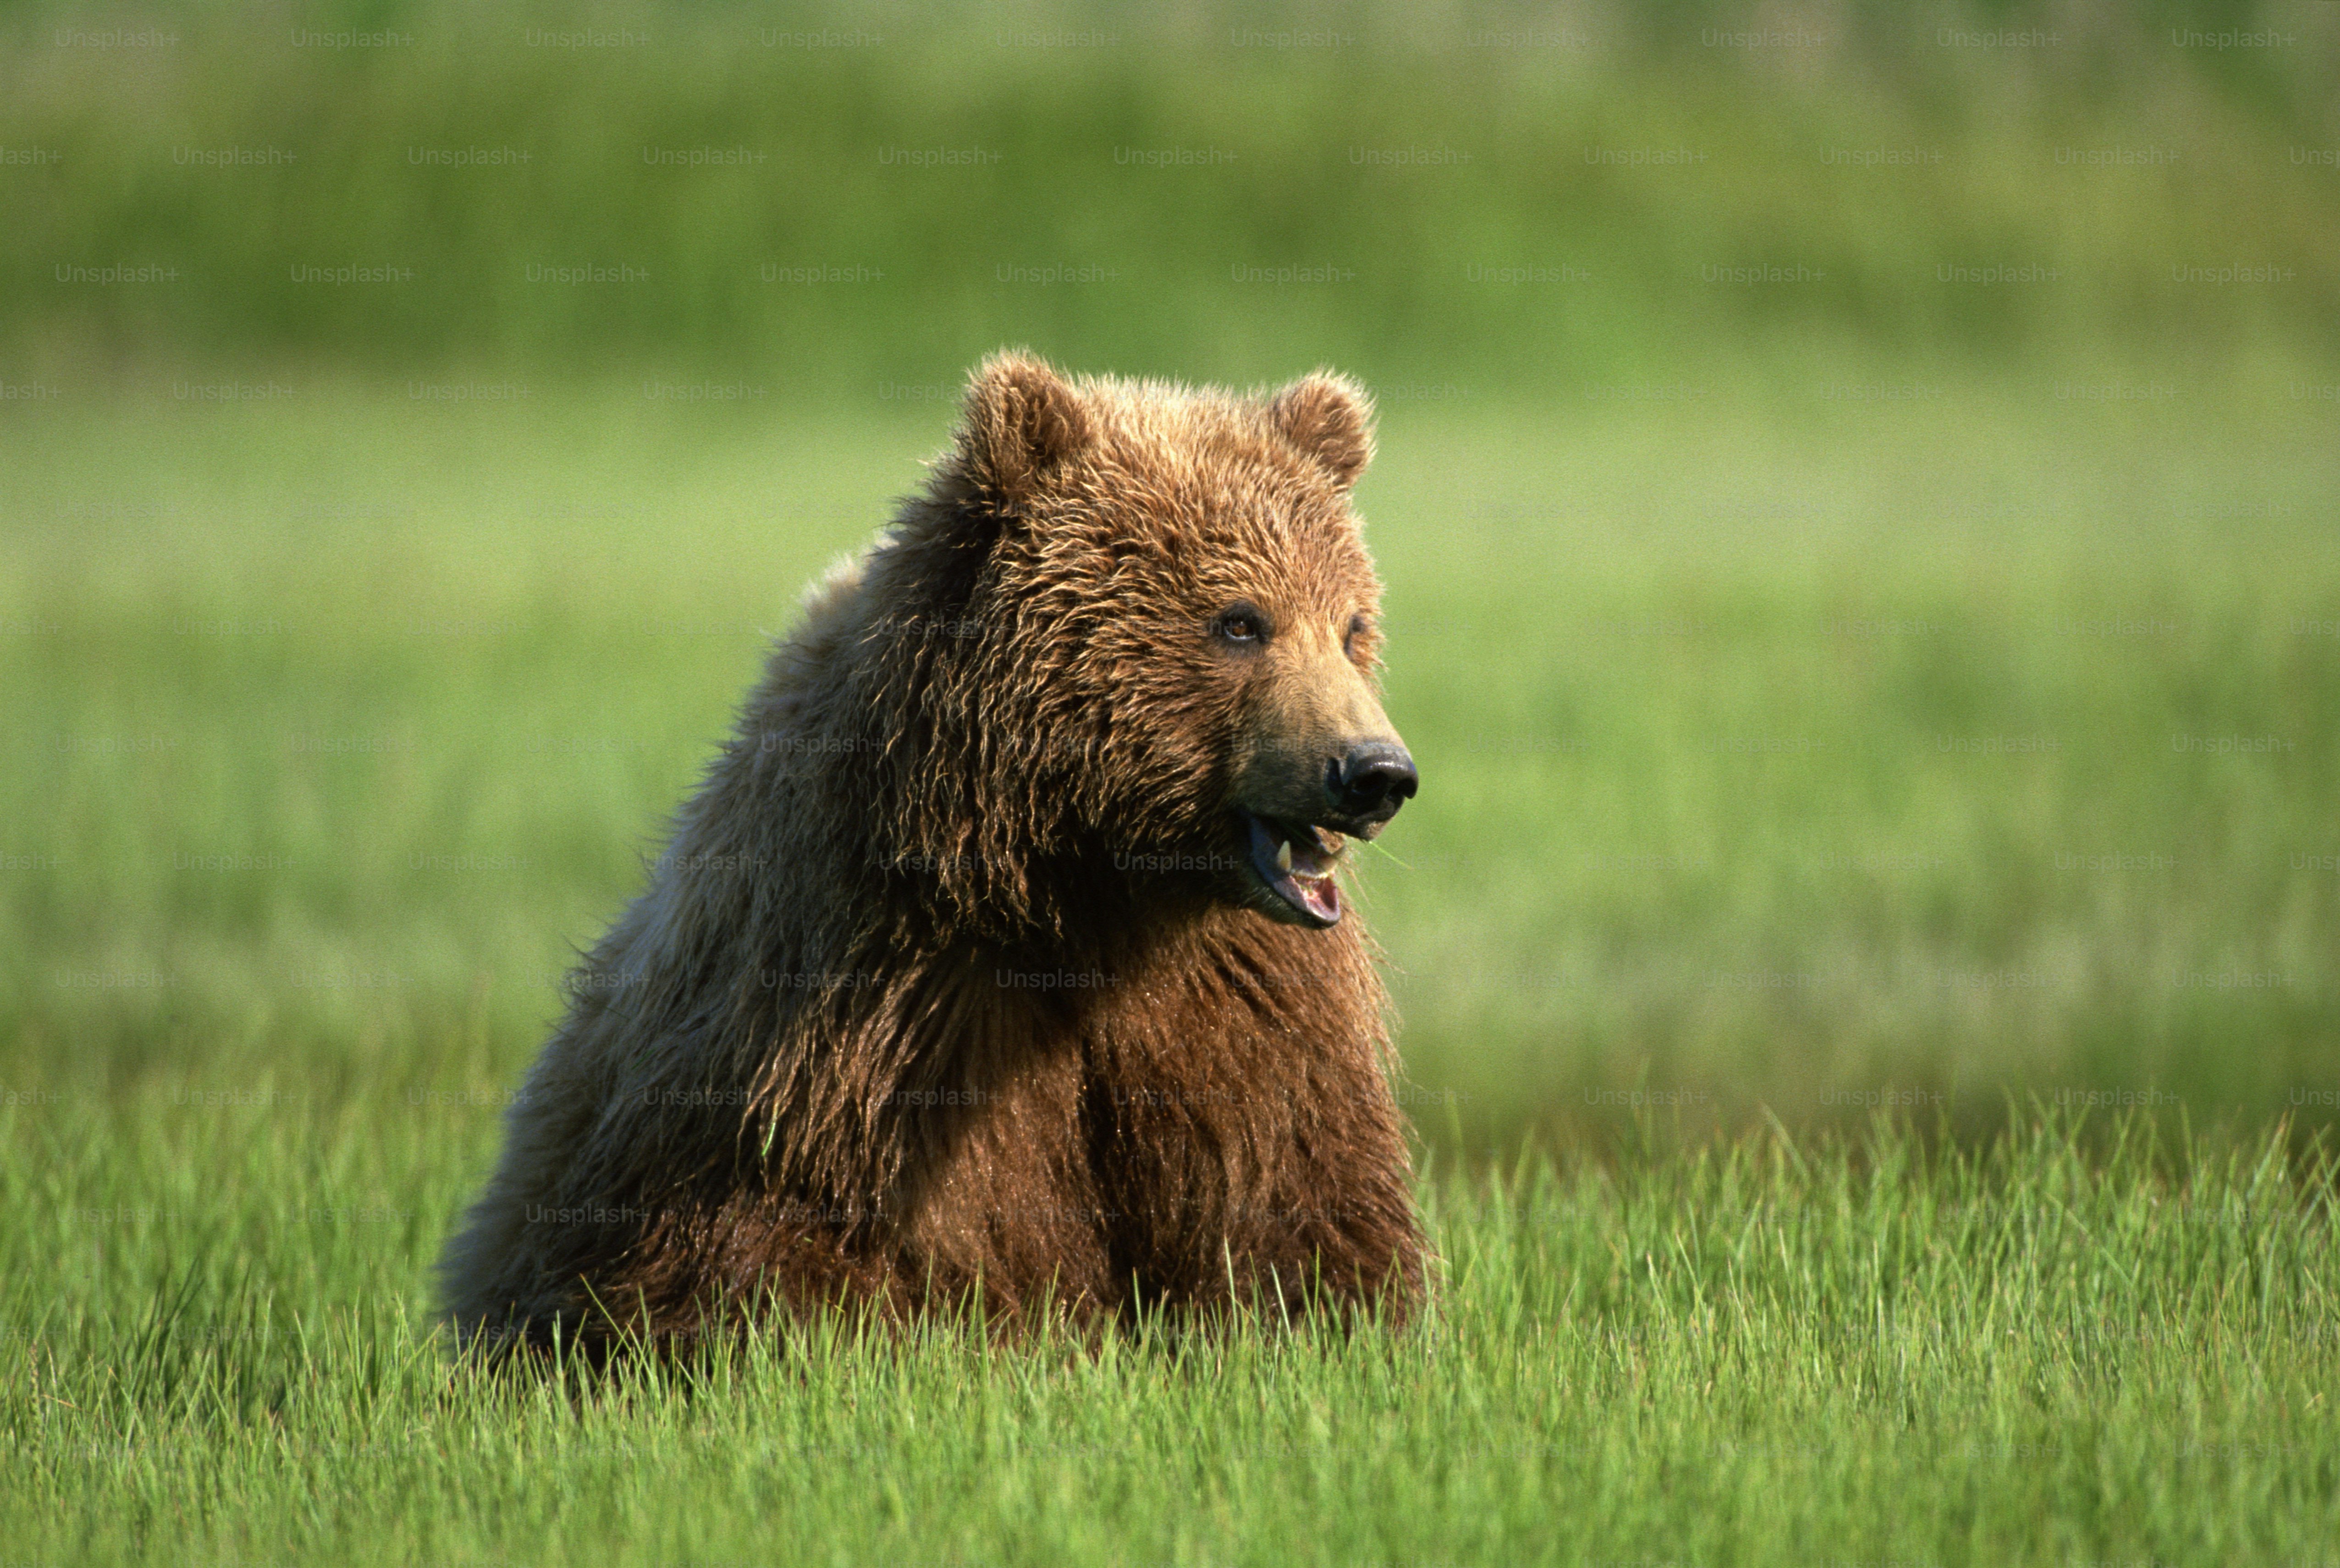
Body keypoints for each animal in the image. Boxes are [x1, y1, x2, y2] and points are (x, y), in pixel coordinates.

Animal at [437, 351, 1425, 1352]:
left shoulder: (1235, 995)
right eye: (1239, 621)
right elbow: (828, 1227)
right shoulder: (878, 993)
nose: (1373, 771)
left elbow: (1284, 1188)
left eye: (1350, 626)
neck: (1087, 880)